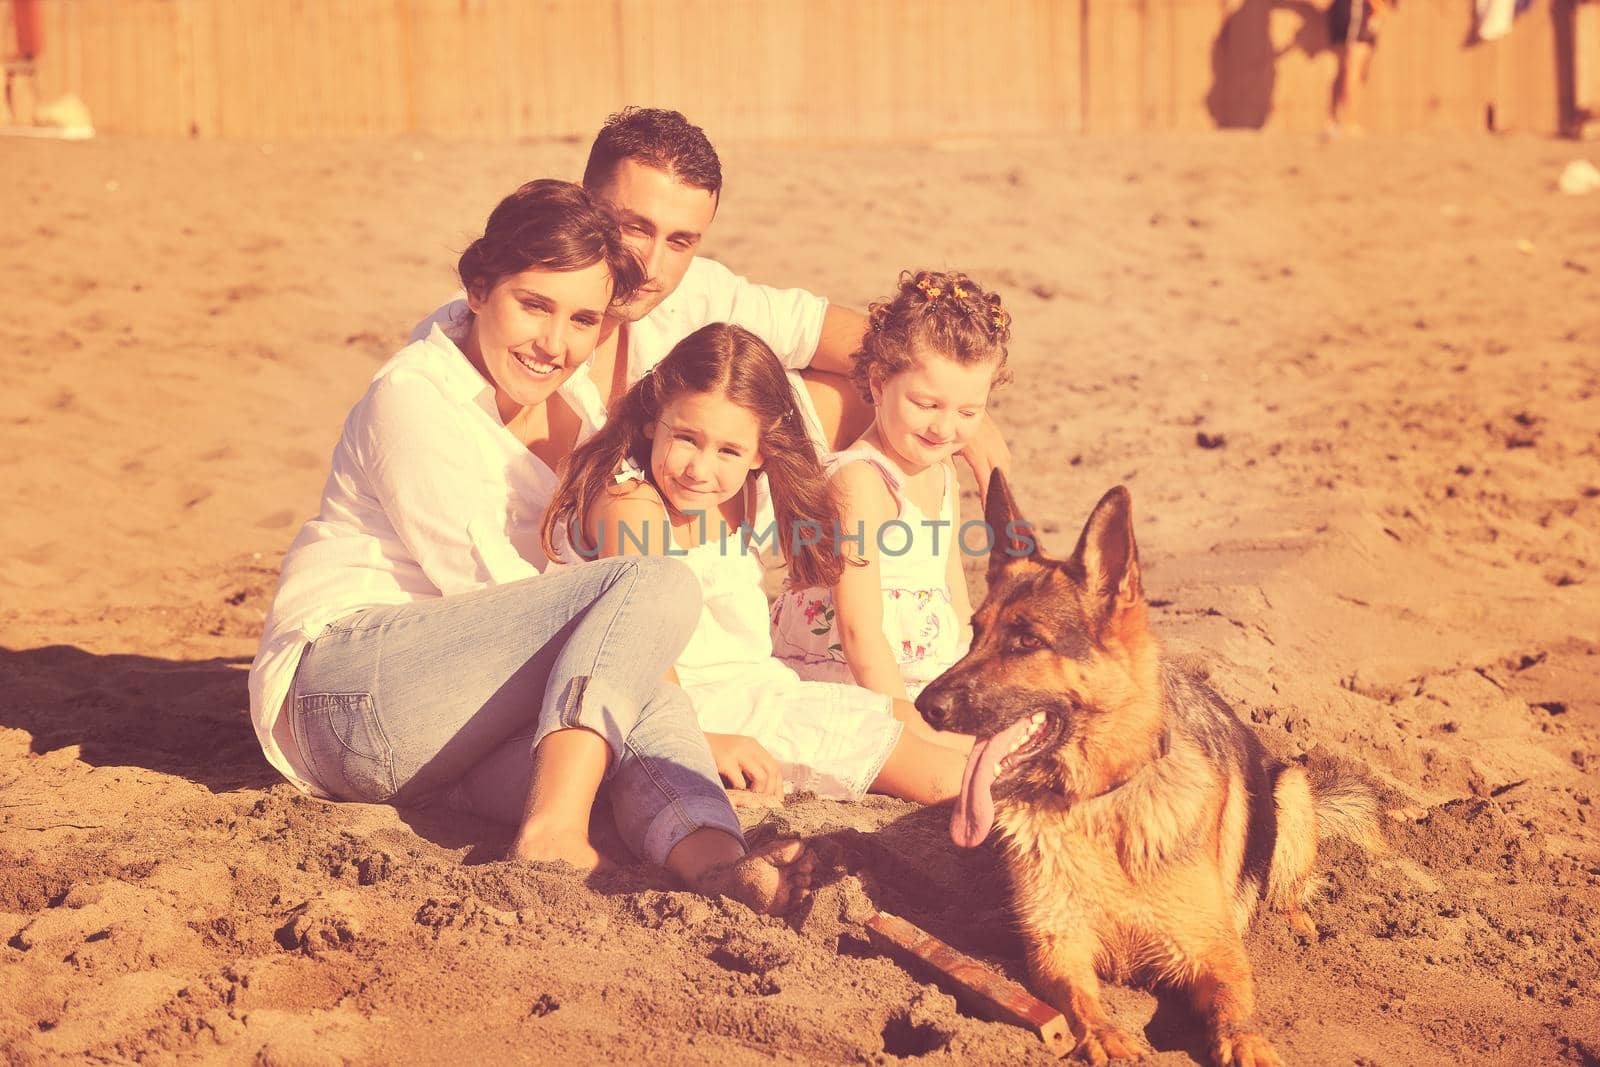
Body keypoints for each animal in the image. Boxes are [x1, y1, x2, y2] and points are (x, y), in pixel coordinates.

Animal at [921, 476, 1382, 1067]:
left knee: (1288, 886)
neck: (1100, 804)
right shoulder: (1057, 948)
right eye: (976, 633)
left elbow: (1236, 1007)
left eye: (1026, 641)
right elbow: (1081, 1000)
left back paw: (1296, 922)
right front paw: (1106, 1036)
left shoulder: (1215, 952)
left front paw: (1247, 1042)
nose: (923, 706)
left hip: (1294, 790)